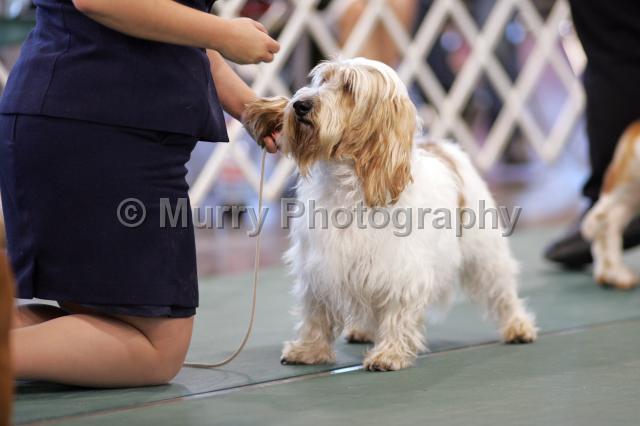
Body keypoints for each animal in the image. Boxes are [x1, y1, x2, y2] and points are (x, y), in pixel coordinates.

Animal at [244, 58, 537, 371]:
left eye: (349, 87)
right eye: (322, 80)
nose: (300, 105)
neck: (350, 183)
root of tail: (443, 147)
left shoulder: (401, 269)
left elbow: (397, 311)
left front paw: (390, 354)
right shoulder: (320, 265)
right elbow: (316, 313)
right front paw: (309, 349)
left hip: (484, 252)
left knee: (501, 290)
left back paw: (518, 327)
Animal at [581, 121, 640, 290]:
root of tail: (634, 127)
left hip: (631, 197)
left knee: (609, 225)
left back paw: (613, 273)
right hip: (623, 187)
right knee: (602, 222)